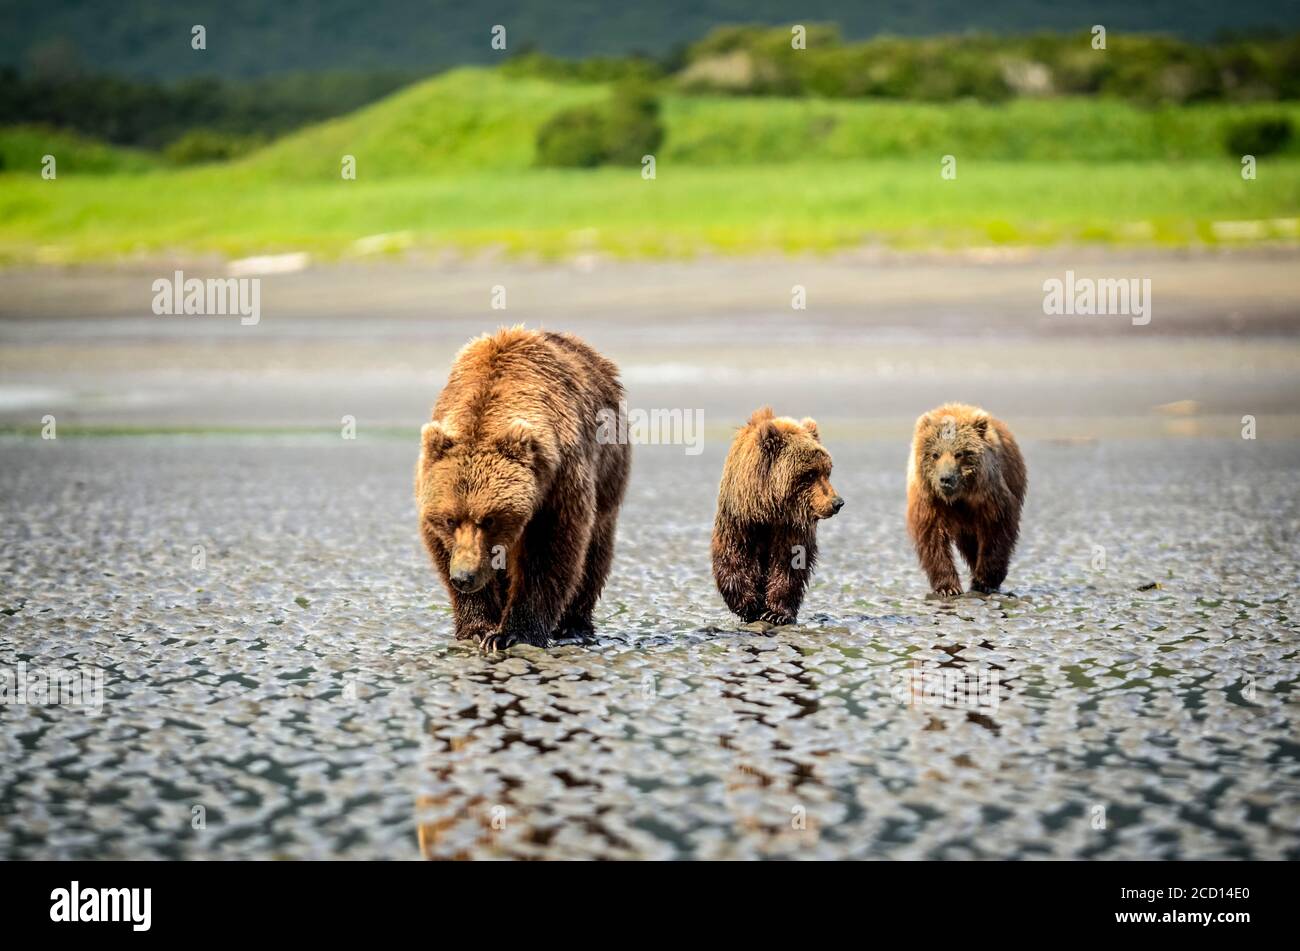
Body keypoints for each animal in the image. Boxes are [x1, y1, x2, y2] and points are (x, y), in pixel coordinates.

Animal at [413, 324, 631, 646]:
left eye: (489, 519)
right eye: (450, 519)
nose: (464, 577)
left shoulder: (558, 481)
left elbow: (548, 552)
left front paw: (512, 633)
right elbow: (443, 548)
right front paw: (478, 628)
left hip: (608, 477)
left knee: (594, 552)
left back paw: (575, 626)